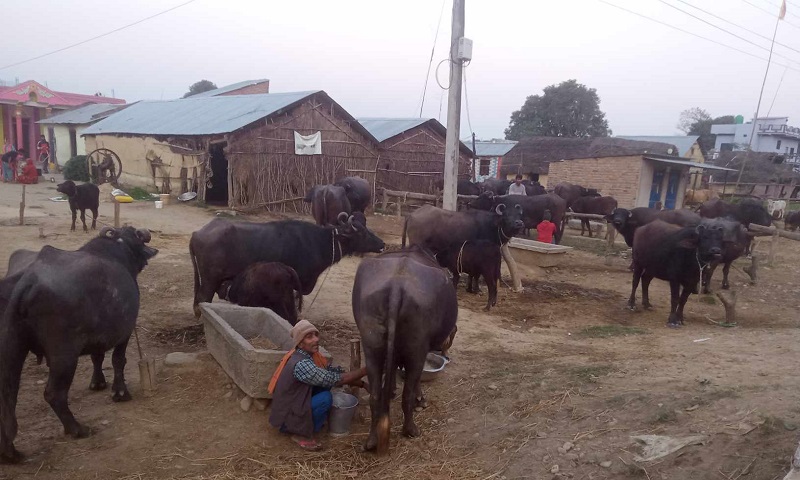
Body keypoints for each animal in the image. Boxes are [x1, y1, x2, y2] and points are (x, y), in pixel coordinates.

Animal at [0, 226, 157, 463]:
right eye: (136, 236)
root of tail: (27, 280)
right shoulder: (125, 331)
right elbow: (118, 360)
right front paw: (120, 393)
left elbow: (97, 357)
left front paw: (98, 383)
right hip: (64, 355)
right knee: (54, 393)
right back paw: (77, 428)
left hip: (11, 346)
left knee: (7, 396)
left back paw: (11, 452)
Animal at [190, 214, 384, 317]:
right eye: (363, 232)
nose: (382, 244)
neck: (318, 242)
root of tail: (197, 233)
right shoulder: (295, 283)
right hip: (209, 281)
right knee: (202, 300)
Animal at [352, 246, 458, 454]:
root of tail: (396, 285)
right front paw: (421, 399)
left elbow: (392, 369)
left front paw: (392, 389)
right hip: (416, 350)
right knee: (407, 394)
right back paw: (411, 429)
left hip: (371, 347)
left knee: (375, 394)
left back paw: (371, 441)